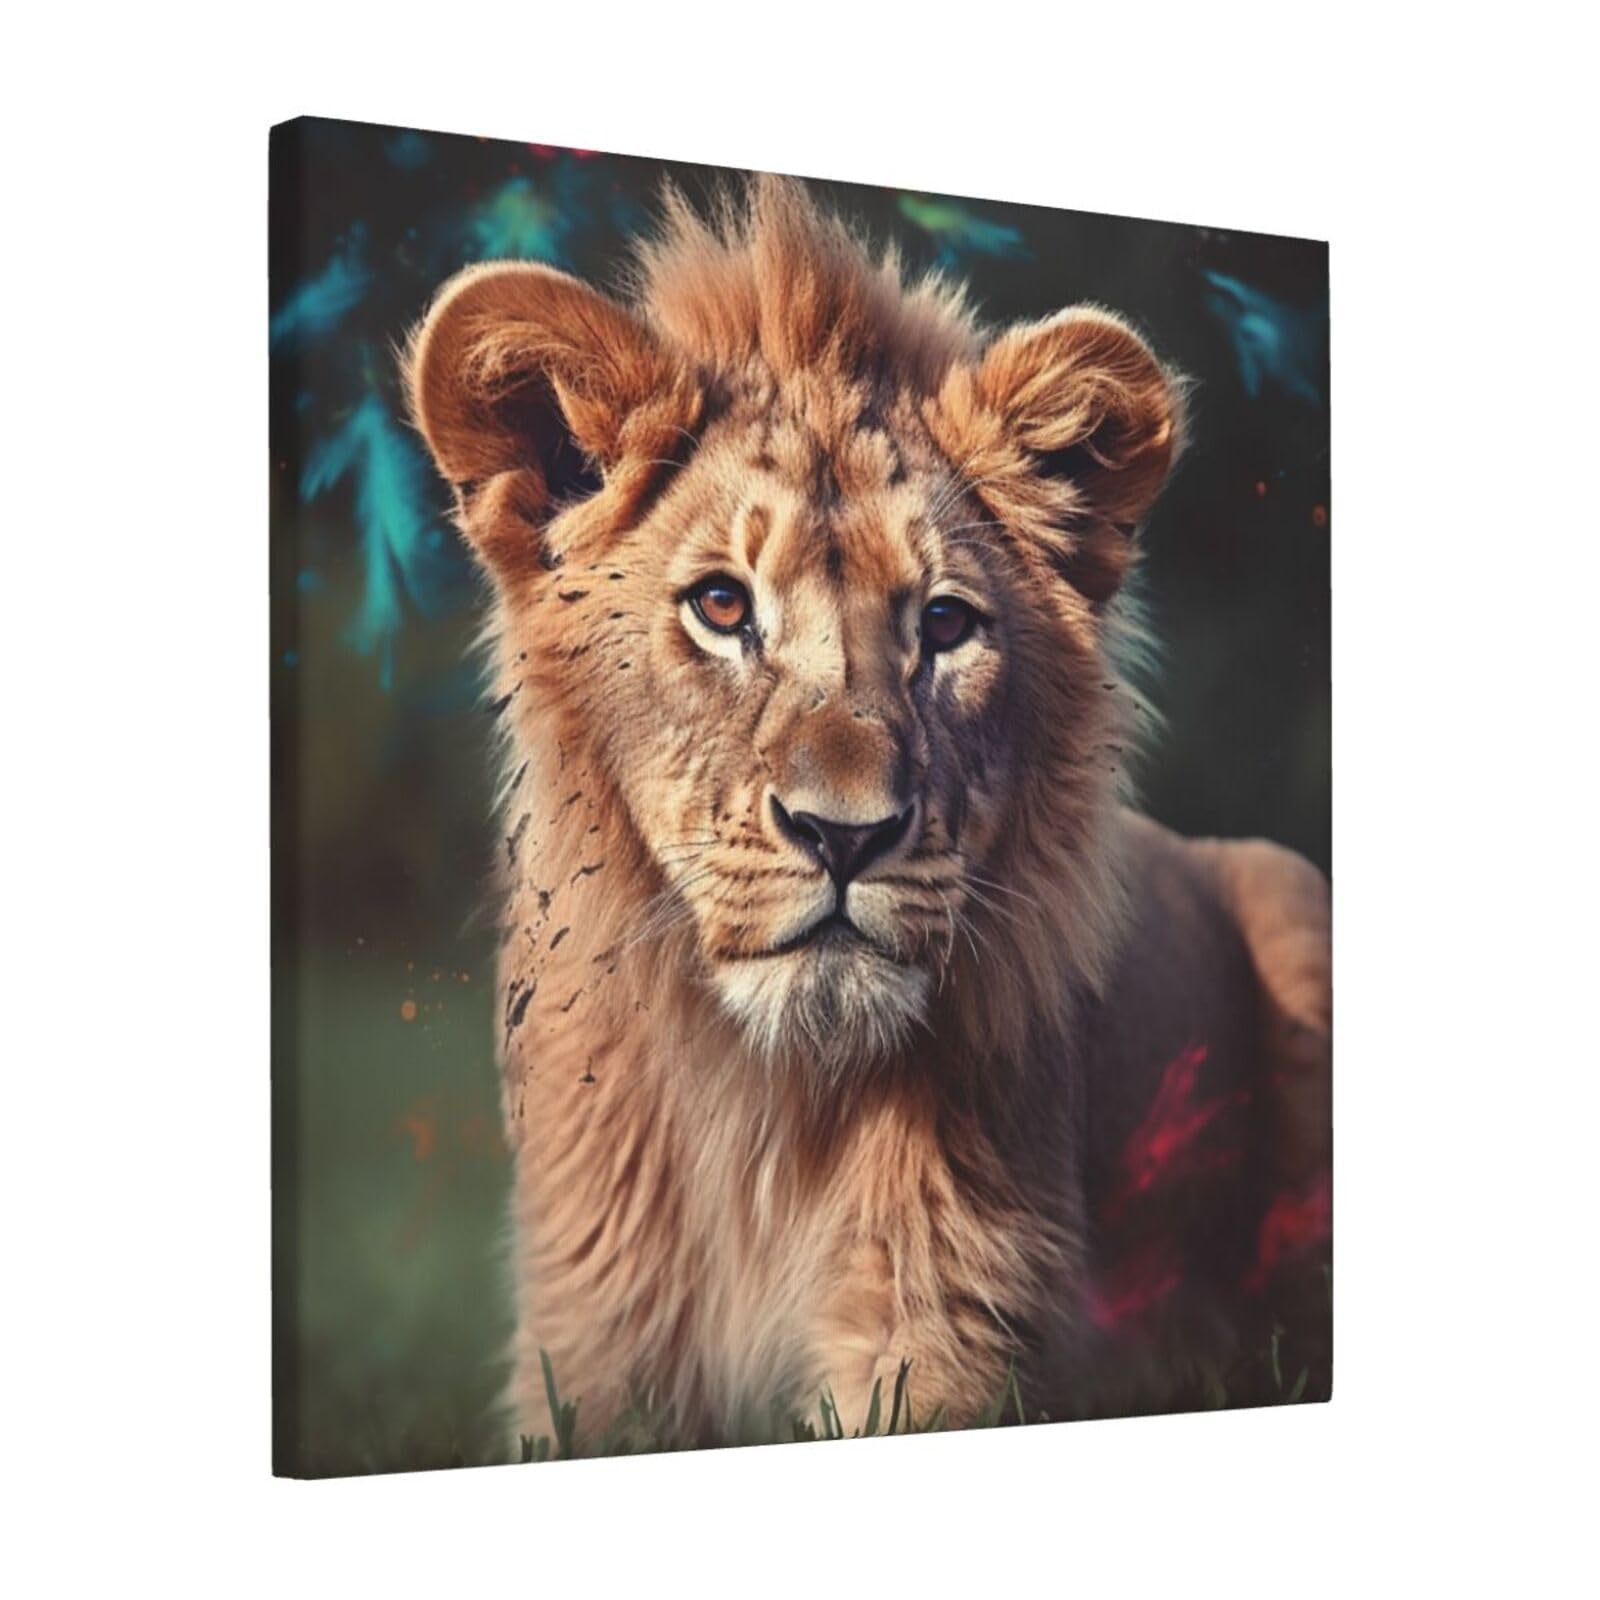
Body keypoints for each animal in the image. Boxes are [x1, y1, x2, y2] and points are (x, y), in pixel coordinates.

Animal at [406, 176, 1331, 1449]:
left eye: (943, 625)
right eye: (719, 606)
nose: (843, 835)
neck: (767, 1107)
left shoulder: (945, 1332)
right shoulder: (586, 1347)